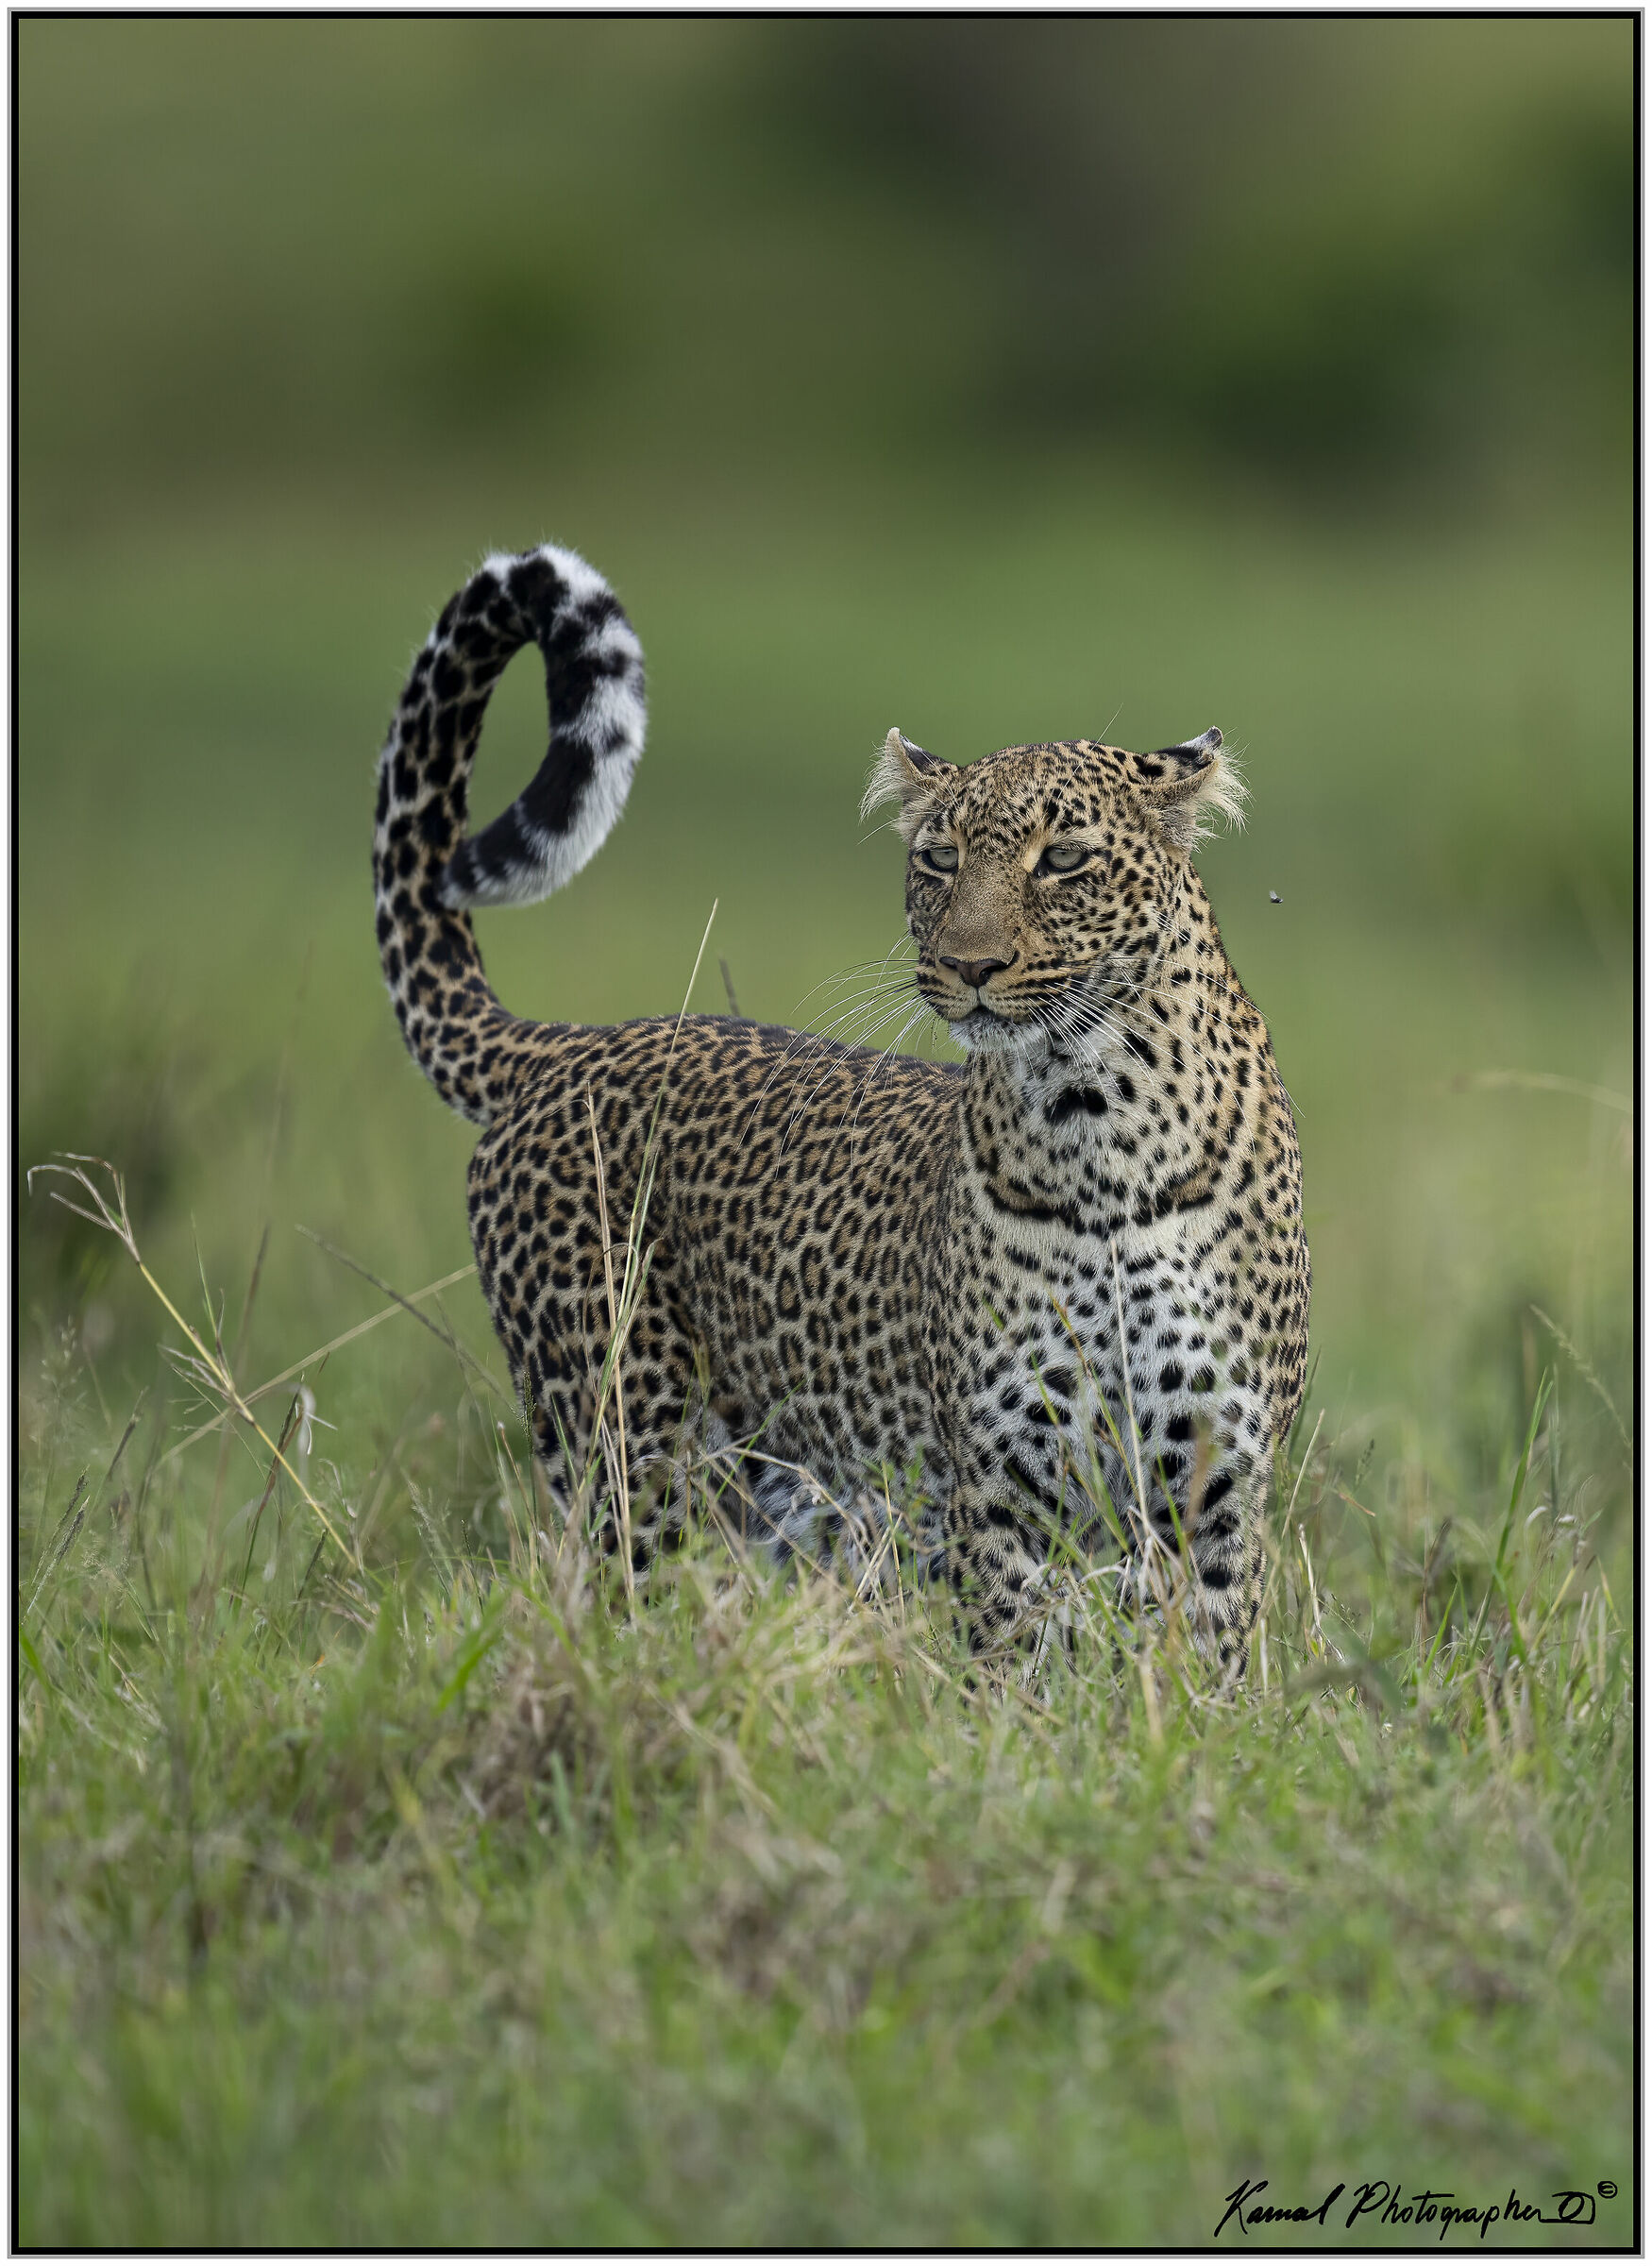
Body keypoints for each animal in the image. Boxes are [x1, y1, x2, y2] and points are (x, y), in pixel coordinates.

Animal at [372, 540, 1310, 1675]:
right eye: (939, 860)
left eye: (1064, 860)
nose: (969, 965)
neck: (1097, 1121)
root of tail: (570, 1045)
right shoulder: (1002, 1481)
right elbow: (1016, 1666)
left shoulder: (1219, 1482)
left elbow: (1205, 1669)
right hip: (623, 1441)